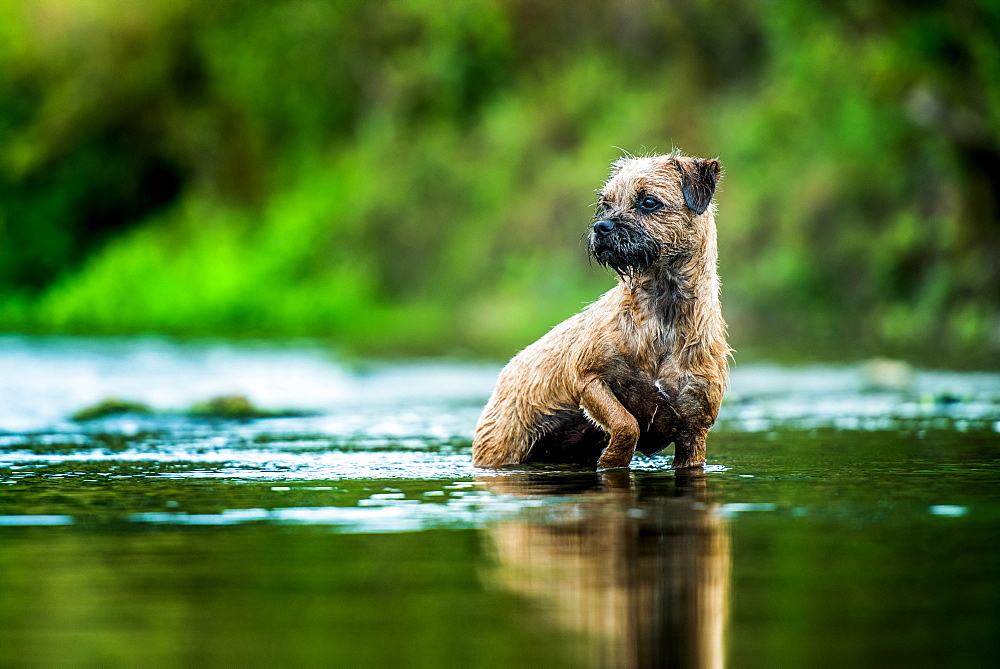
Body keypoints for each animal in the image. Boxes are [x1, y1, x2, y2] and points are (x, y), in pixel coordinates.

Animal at [472, 150, 732, 470]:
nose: (601, 227)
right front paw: (612, 458)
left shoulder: (694, 431)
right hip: (500, 446)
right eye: (605, 204)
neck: (663, 313)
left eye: (648, 201)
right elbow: (626, 422)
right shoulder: (588, 379)